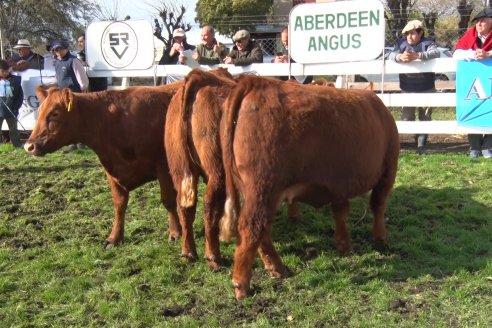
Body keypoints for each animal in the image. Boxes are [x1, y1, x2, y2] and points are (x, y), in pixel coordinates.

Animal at [22, 82, 196, 256]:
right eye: (39, 112)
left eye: (55, 113)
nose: (29, 146)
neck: (115, 121)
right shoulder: (112, 173)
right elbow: (119, 206)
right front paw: (114, 238)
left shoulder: (163, 167)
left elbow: (168, 201)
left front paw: (175, 232)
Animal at [221, 74, 398, 300]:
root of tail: (256, 82)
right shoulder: (388, 171)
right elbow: (378, 206)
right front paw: (380, 237)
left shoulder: (338, 184)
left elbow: (340, 213)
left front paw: (343, 245)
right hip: (264, 186)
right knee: (252, 227)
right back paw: (242, 285)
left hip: (257, 191)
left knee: (263, 231)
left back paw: (277, 268)